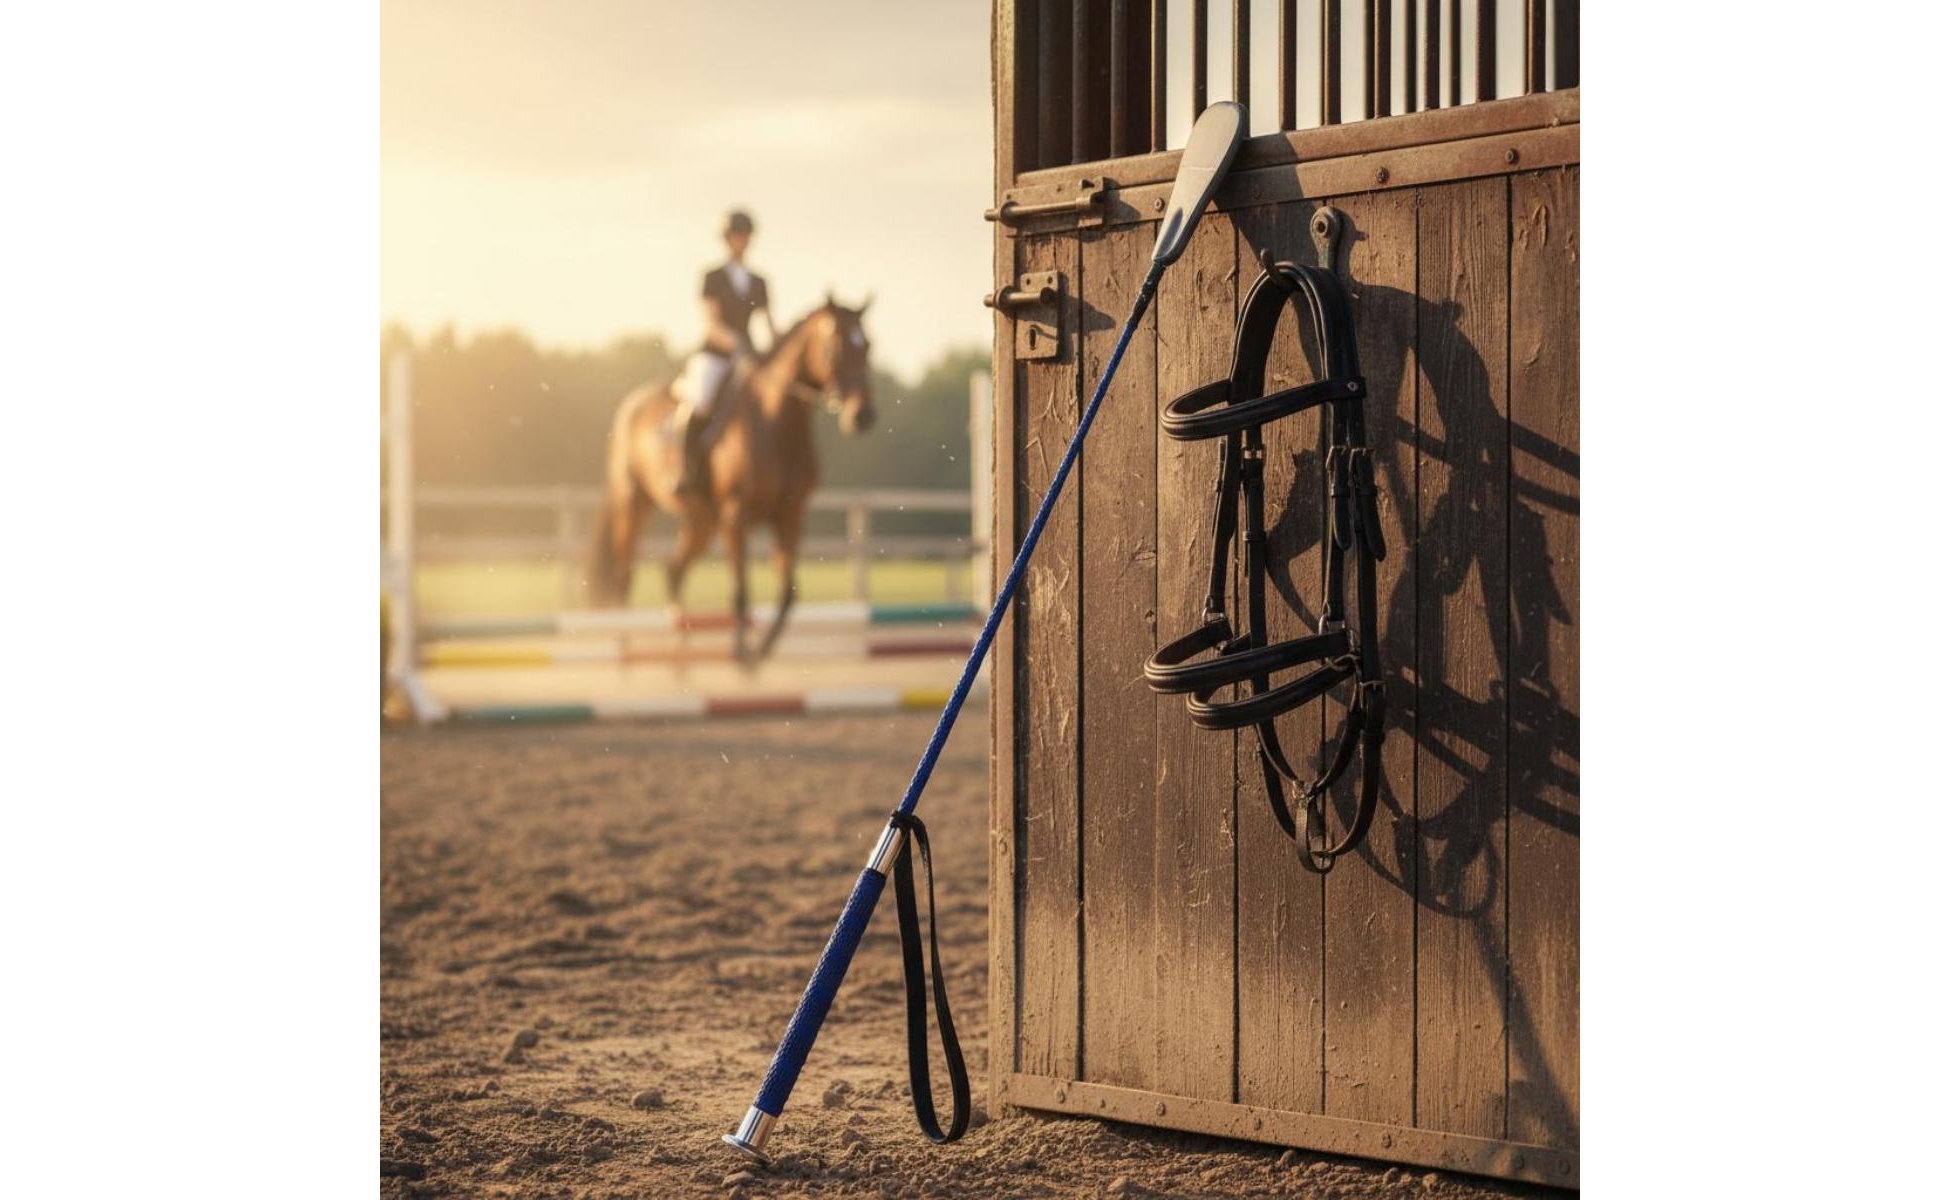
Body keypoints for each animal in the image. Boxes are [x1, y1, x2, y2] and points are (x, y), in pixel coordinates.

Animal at [589, 296, 876, 661]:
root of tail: (633, 403)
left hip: (700, 520)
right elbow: (741, 591)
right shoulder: (735, 517)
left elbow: (788, 593)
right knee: (624, 575)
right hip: (634, 503)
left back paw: (681, 646)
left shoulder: (790, 516)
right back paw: (623, 645)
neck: (776, 423)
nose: (863, 416)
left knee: (674, 569)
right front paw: (741, 651)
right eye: (835, 345)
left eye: (867, 345)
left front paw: (761, 650)